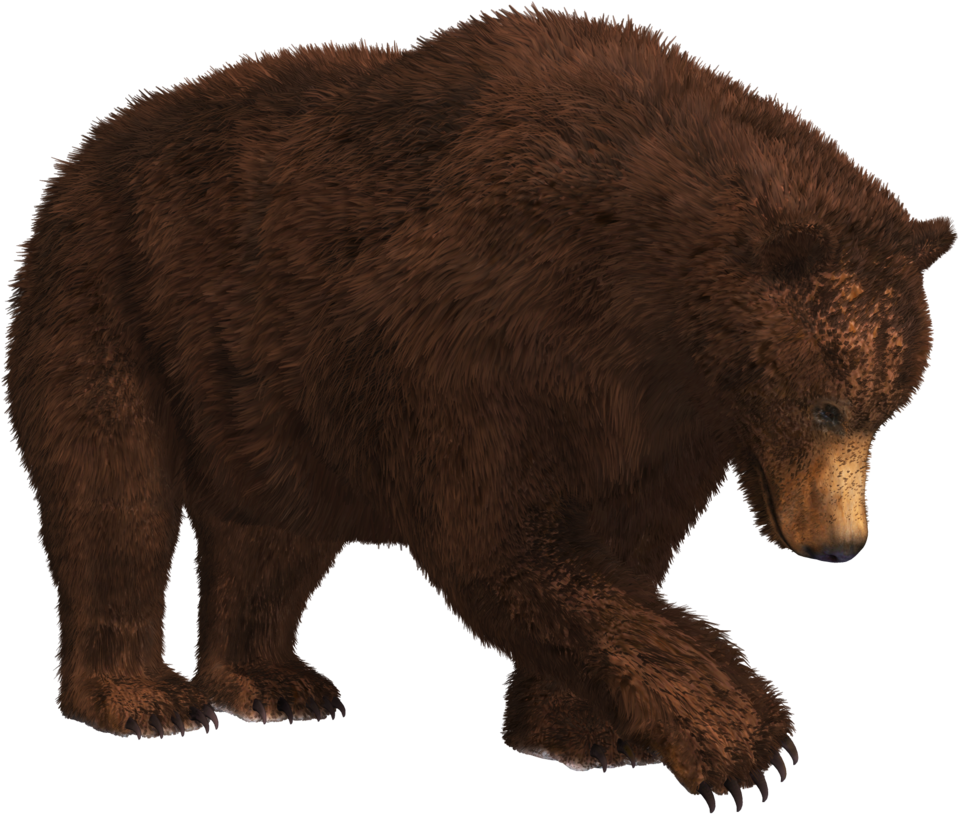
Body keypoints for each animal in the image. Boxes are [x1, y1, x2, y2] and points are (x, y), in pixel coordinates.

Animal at [5, 3, 954, 811]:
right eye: (826, 407)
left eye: (887, 410)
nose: (838, 546)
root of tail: (86, 152)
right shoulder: (476, 340)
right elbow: (497, 544)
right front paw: (741, 740)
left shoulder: (658, 427)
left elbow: (620, 544)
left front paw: (579, 731)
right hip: (114, 303)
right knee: (115, 501)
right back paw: (140, 698)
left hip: (261, 395)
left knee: (273, 535)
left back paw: (269, 682)